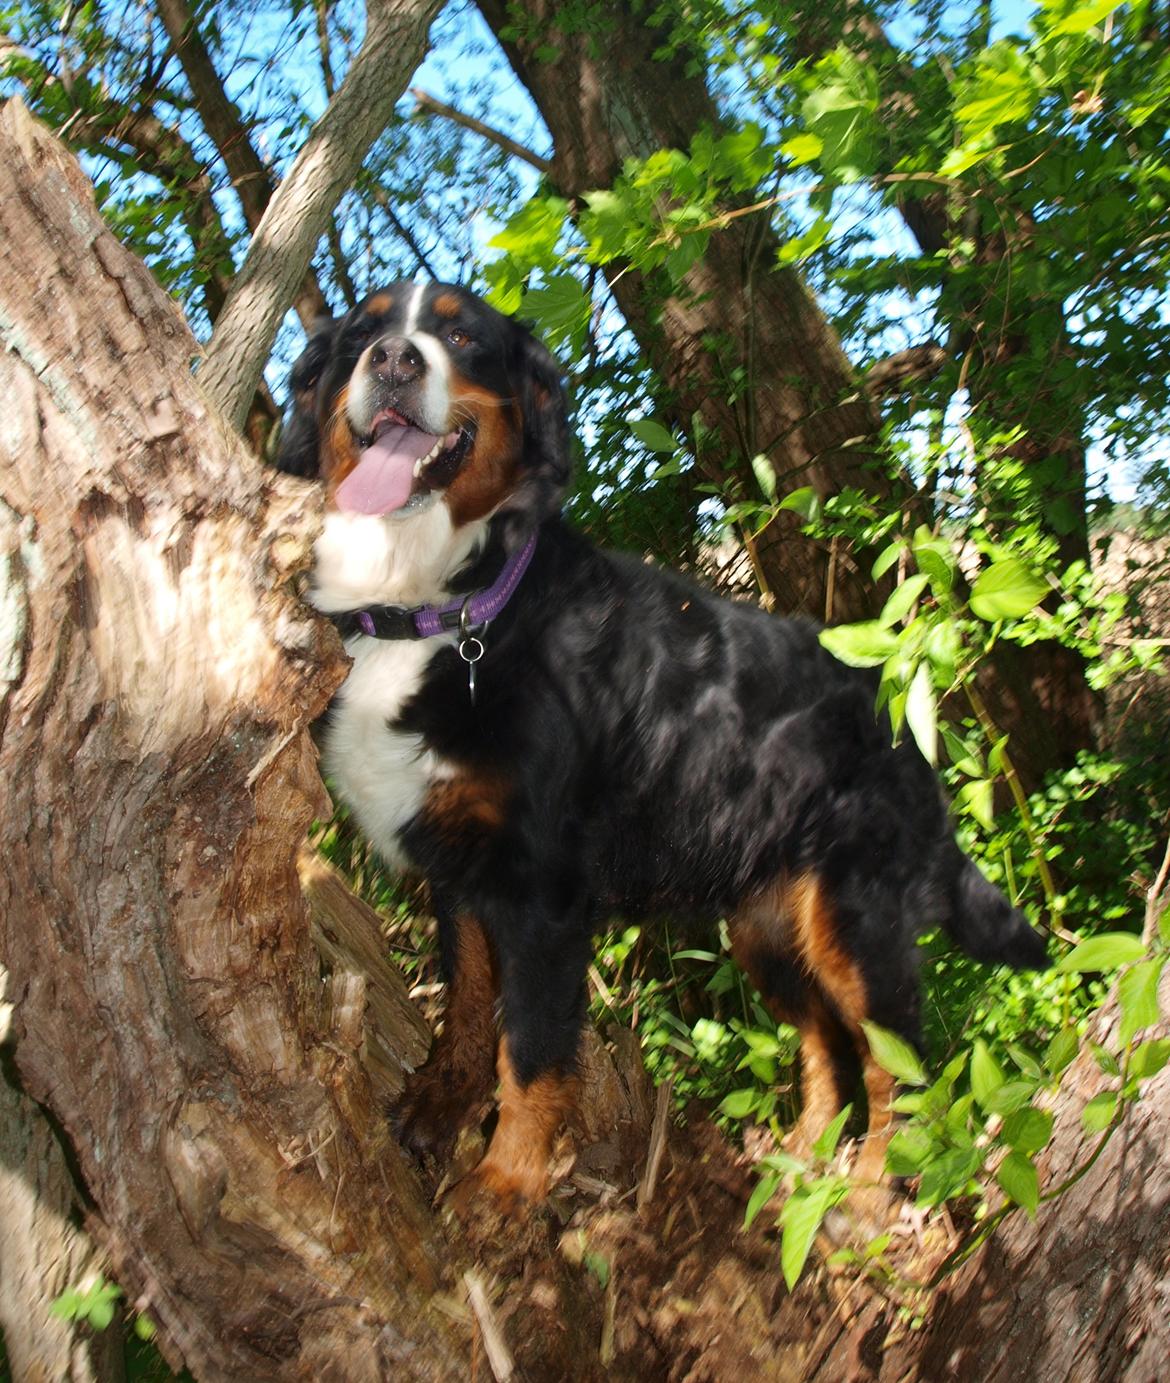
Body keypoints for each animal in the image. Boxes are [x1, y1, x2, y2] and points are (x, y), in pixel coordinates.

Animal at [279, 286, 1051, 1217]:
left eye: (461, 334)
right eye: (365, 328)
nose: (394, 358)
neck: (443, 611)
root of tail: (899, 717)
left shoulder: (541, 892)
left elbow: (531, 1047)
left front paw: (506, 1179)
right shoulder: (458, 876)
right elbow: (465, 1008)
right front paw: (441, 1104)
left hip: (856, 926)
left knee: (898, 1063)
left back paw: (868, 1193)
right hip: (767, 925)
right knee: (826, 1044)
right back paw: (796, 1162)